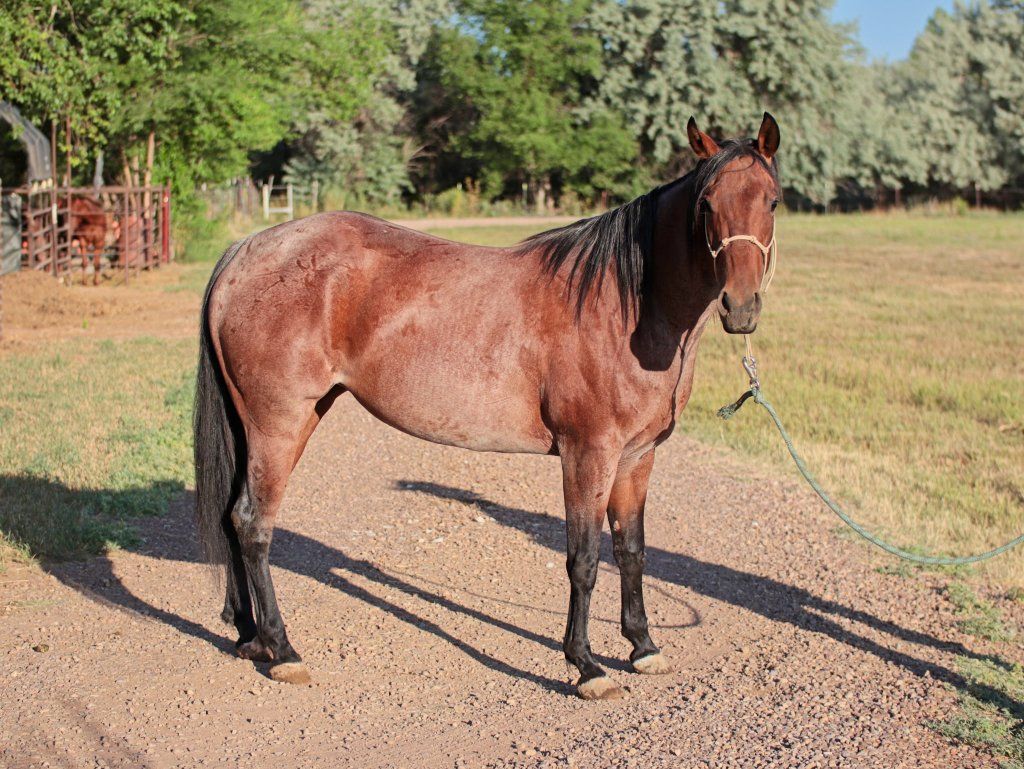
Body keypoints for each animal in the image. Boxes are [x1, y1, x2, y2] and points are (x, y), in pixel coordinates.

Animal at [194, 113, 782, 699]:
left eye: (772, 201)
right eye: (706, 203)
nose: (741, 307)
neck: (627, 306)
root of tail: (245, 251)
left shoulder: (637, 457)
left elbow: (631, 551)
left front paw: (643, 646)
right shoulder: (588, 454)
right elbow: (585, 560)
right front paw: (586, 665)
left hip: (274, 423)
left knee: (230, 517)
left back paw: (248, 635)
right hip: (278, 425)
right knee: (253, 524)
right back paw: (283, 650)